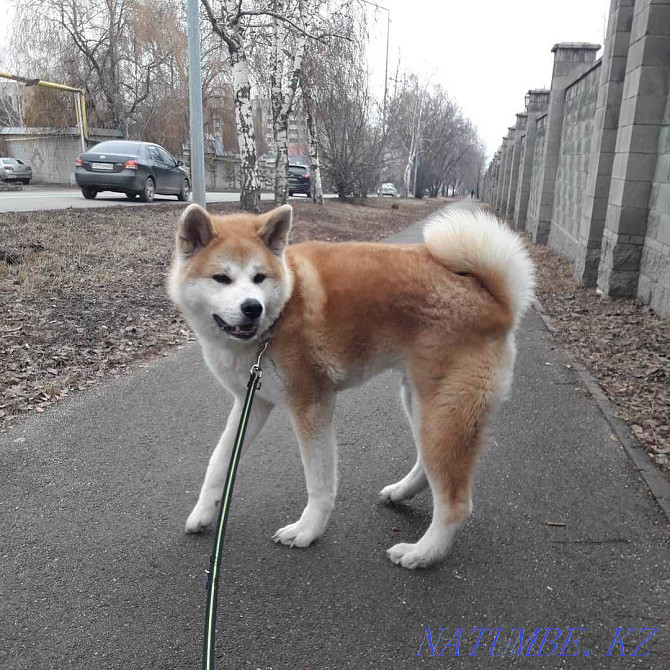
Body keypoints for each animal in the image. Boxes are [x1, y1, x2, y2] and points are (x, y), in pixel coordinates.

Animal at [168, 202, 536, 568]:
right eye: (222, 278)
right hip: (422, 404)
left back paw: (422, 553)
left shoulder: (311, 406)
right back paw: (401, 493)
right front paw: (203, 512)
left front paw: (308, 529)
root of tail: (496, 301)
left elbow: (318, 482)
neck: (280, 314)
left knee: (455, 504)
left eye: (259, 277)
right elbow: (219, 462)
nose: (252, 308)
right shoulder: (253, 402)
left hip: (443, 413)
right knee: (427, 467)